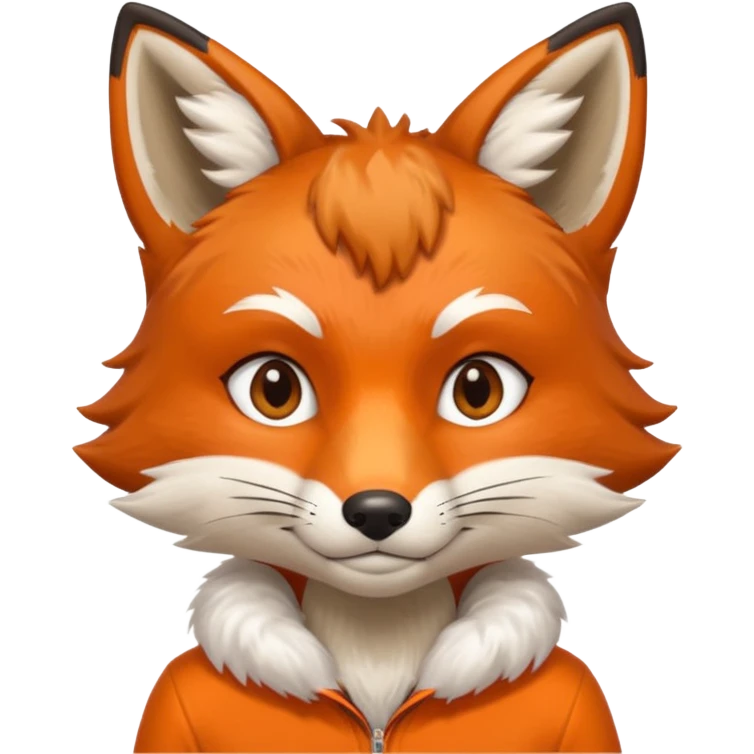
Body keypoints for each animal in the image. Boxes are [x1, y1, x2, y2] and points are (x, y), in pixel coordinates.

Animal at [83, 1, 675, 752]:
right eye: (274, 389)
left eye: (477, 390)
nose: (376, 512)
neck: (377, 652)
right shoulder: (172, 699)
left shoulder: (583, 701)